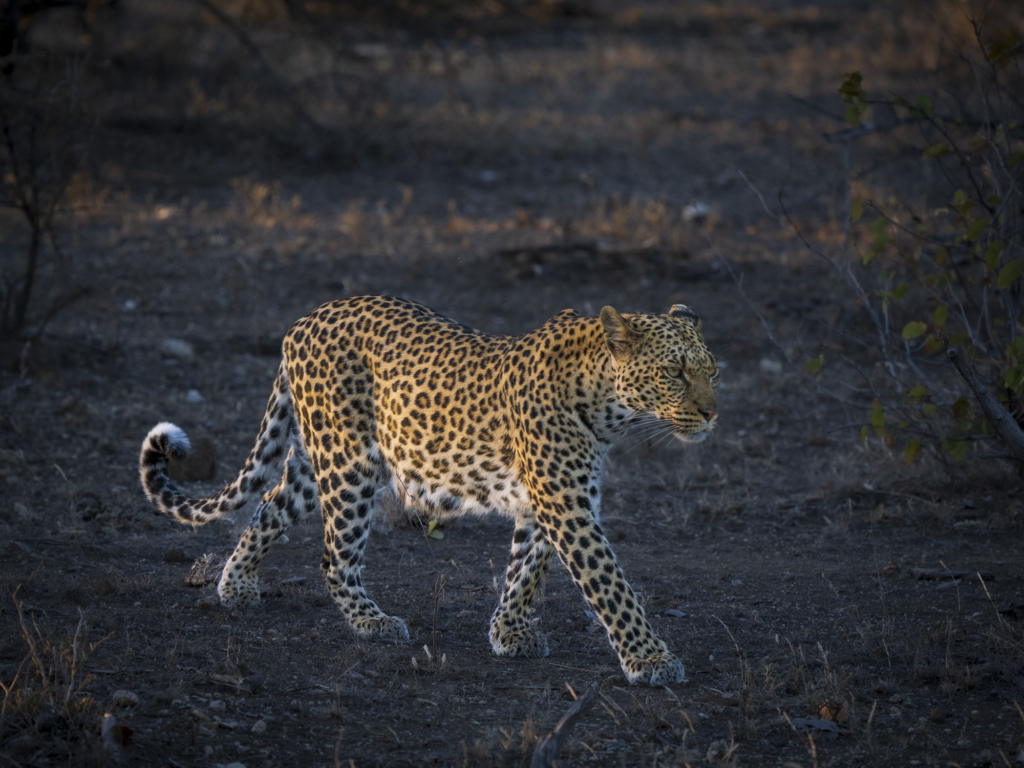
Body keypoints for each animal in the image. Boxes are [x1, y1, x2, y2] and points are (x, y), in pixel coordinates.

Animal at [140, 296, 720, 688]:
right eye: (675, 372)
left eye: (711, 371)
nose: (713, 413)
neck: (608, 407)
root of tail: (303, 322)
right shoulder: (566, 504)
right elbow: (611, 585)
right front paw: (651, 659)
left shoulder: (549, 500)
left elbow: (526, 568)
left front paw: (509, 632)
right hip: (350, 463)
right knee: (333, 555)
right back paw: (371, 622)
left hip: (313, 458)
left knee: (266, 507)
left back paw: (236, 585)